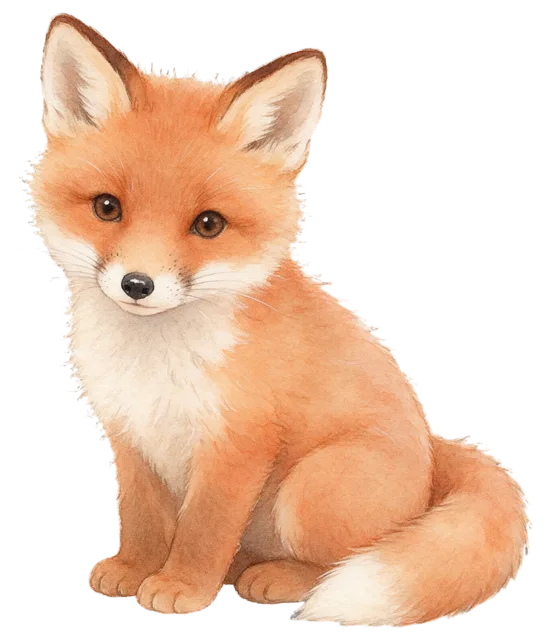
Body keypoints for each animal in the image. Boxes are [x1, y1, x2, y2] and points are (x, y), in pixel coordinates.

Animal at [27, 13, 531, 626]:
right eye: (107, 208)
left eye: (209, 224)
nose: (137, 285)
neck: (155, 361)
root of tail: (436, 456)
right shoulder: (131, 431)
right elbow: (144, 518)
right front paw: (133, 569)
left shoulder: (237, 444)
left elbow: (204, 531)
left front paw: (182, 587)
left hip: (309, 491)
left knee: (344, 560)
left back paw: (280, 580)